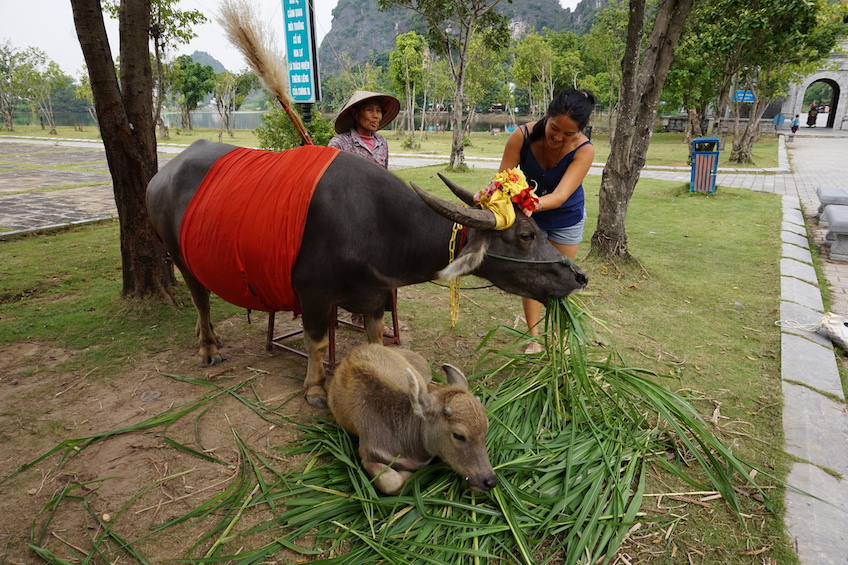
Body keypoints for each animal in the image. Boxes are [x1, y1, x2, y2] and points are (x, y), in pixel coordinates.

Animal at [146, 140, 588, 406]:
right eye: (526, 235)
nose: (577, 277)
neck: (375, 222)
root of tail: (160, 176)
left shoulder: (376, 295)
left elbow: (375, 338)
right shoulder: (312, 294)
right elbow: (317, 342)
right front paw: (314, 387)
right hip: (180, 257)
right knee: (201, 298)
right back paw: (208, 348)